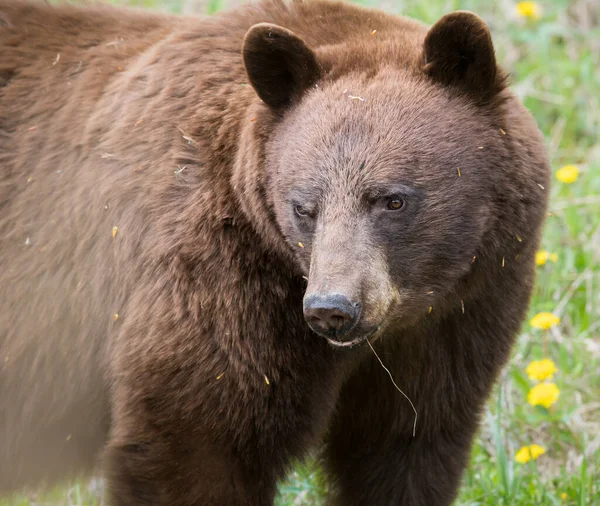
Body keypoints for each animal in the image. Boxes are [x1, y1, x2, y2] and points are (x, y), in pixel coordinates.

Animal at [0, 0, 552, 504]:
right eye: (304, 206)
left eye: (393, 199)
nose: (332, 309)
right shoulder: (222, 283)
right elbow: (195, 441)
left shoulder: (457, 319)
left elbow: (407, 446)